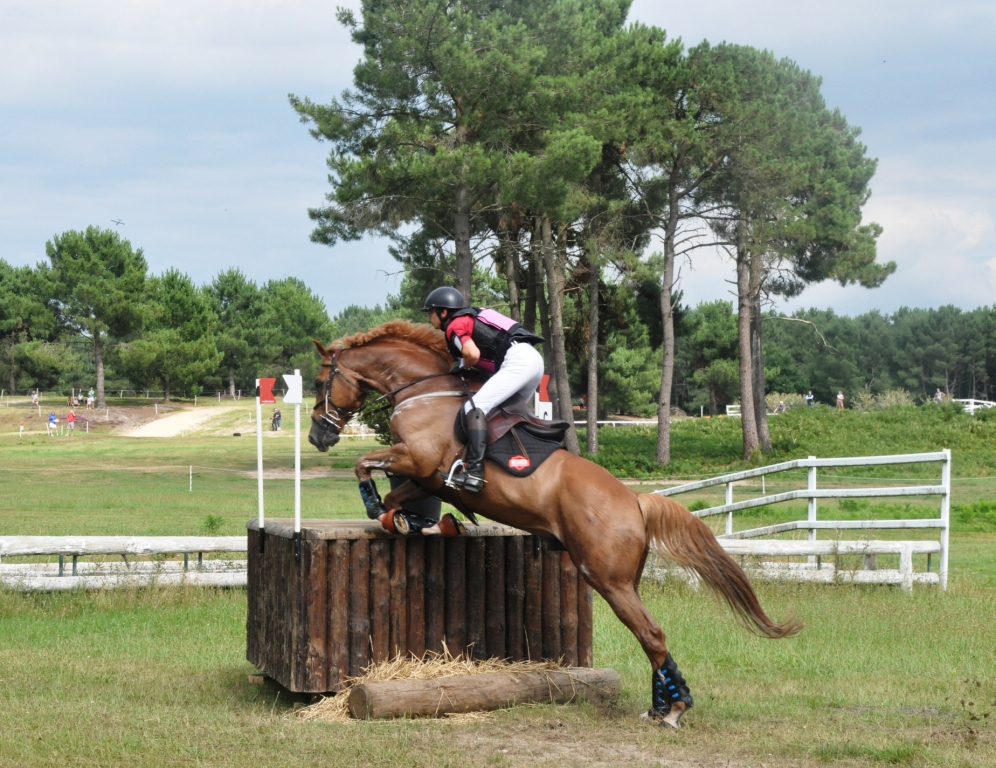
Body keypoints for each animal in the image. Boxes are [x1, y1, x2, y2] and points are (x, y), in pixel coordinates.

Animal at [308, 320, 796, 728]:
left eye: (317, 381)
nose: (317, 435)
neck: (422, 391)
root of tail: (636, 500)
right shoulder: (426, 476)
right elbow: (398, 498)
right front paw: (416, 521)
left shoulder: (420, 460)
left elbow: (364, 465)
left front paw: (381, 506)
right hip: (625, 579)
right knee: (649, 638)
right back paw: (660, 706)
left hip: (607, 578)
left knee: (652, 634)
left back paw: (673, 710)